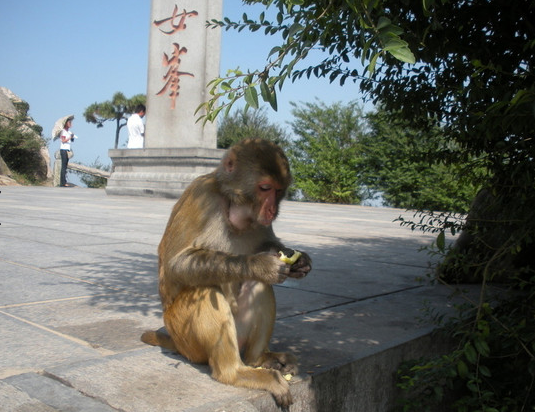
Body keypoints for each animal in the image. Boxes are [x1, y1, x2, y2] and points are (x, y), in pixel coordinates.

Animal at [140, 138, 312, 406]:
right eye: (265, 188)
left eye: (279, 191)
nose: (272, 210)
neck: (232, 207)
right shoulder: (202, 197)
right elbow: (176, 264)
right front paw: (260, 265)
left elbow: (268, 244)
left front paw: (300, 261)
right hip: (186, 338)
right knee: (204, 288)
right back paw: (235, 373)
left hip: (238, 337)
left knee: (259, 285)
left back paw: (260, 360)